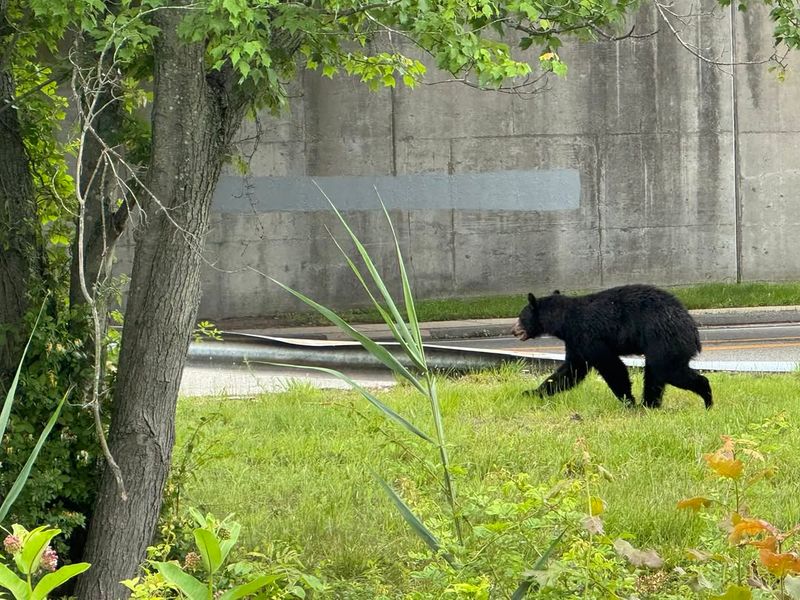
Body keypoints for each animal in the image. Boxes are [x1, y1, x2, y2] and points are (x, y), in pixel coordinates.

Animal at [511, 284, 712, 409]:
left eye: (521, 317)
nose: (513, 330)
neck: (565, 320)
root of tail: (694, 331)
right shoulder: (575, 341)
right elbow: (572, 370)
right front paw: (531, 392)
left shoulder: (588, 335)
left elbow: (611, 365)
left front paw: (628, 401)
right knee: (654, 374)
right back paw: (649, 405)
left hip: (665, 339)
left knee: (666, 370)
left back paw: (707, 400)